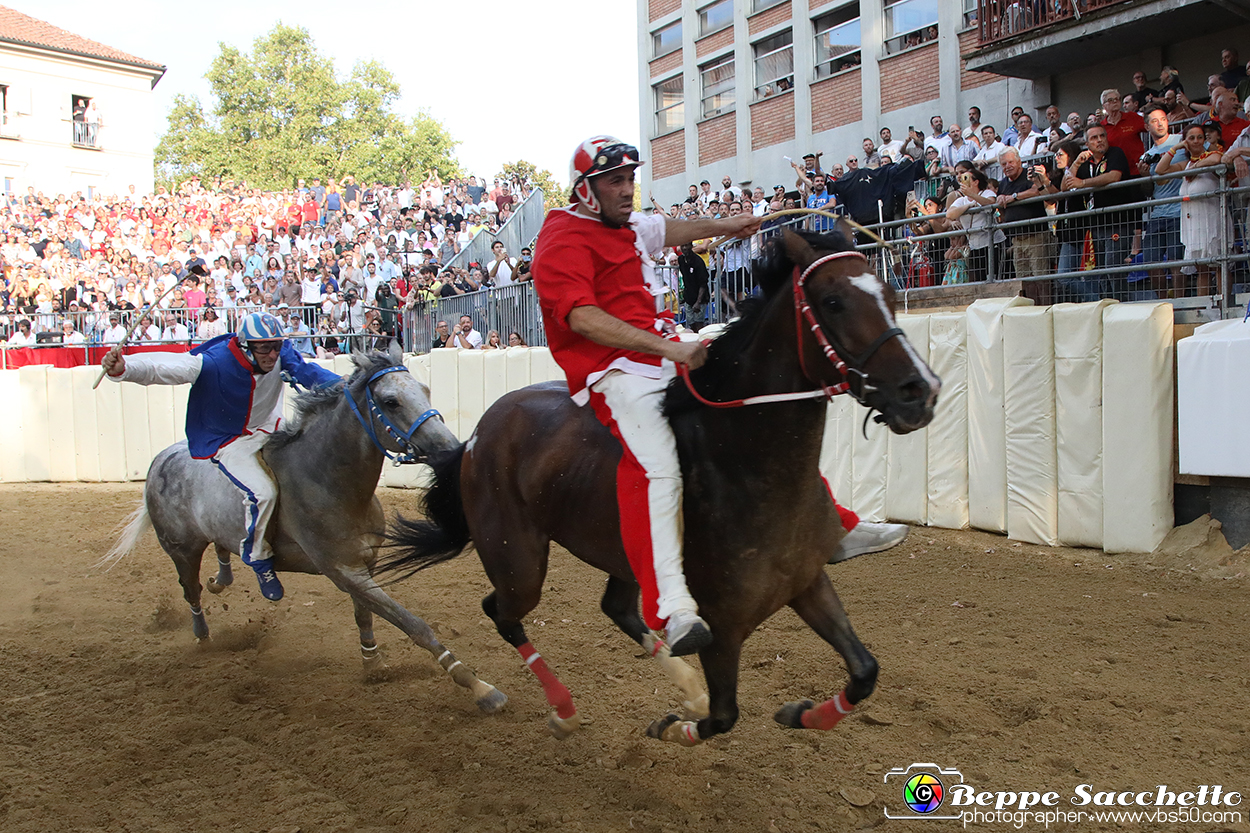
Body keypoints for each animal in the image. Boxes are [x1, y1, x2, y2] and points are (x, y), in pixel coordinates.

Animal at [102, 340, 502, 710]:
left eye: (424, 390)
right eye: (390, 401)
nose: (450, 449)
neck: (327, 479)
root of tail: (159, 459)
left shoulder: (364, 565)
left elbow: (364, 616)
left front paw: (372, 663)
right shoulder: (343, 571)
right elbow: (411, 623)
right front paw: (478, 686)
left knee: (221, 554)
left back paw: (222, 578)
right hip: (181, 550)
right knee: (192, 592)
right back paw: (203, 634)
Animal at [377, 225, 940, 740]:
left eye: (889, 295)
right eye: (833, 302)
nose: (921, 390)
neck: (746, 464)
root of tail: (477, 435)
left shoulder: (807, 582)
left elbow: (865, 671)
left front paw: (799, 713)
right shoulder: (725, 628)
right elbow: (723, 718)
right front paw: (671, 724)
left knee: (616, 609)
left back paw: (683, 683)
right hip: (519, 564)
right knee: (502, 613)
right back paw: (564, 709)